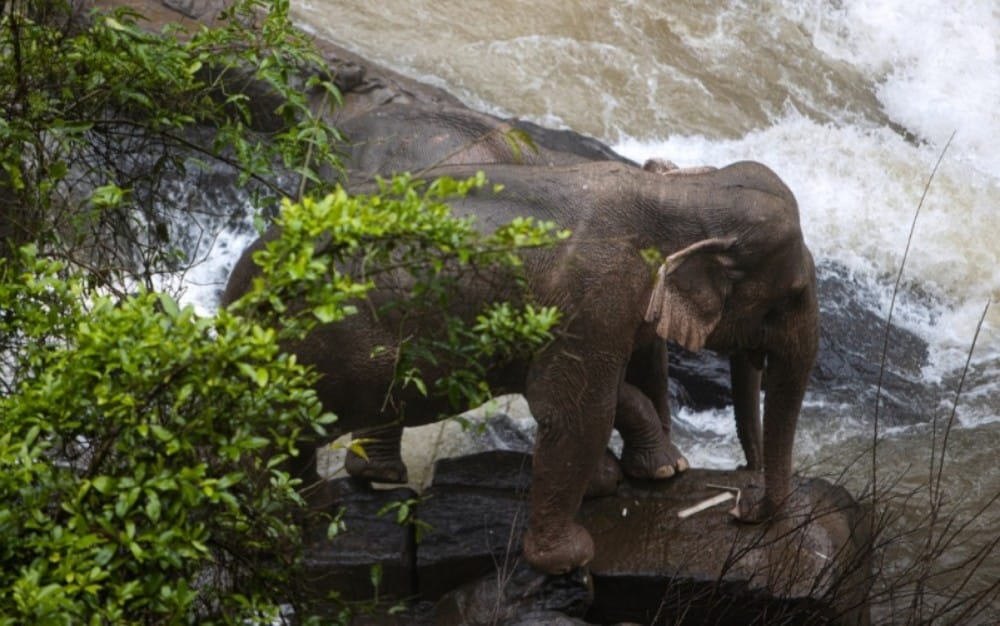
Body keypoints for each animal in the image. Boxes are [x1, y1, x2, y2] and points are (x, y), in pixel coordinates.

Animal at [222, 159, 819, 574]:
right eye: (791, 295)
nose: (740, 507)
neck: (683, 194)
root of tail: (237, 289)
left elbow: (598, 393)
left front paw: (642, 474)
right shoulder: (594, 296)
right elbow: (574, 411)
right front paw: (571, 558)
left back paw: (334, 496)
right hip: (328, 346)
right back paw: (293, 519)